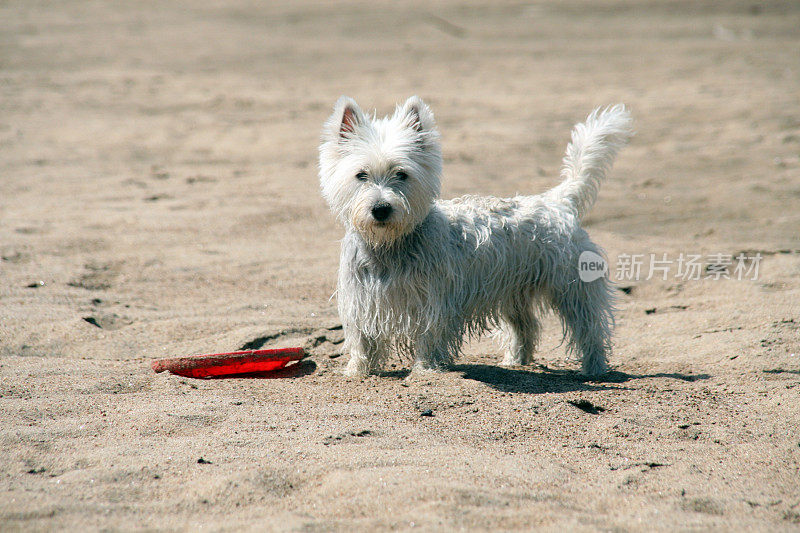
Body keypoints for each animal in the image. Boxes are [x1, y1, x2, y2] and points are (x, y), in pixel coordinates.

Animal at [318, 96, 632, 378]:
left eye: (402, 174)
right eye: (361, 175)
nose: (381, 209)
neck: (389, 245)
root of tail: (557, 200)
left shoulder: (434, 301)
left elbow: (428, 336)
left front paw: (424, 370)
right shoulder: (362, 300)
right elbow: (363, 340)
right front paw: (358, 371)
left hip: (571, 288)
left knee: (589, 327)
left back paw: (593, 369)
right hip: (513, 290)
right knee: (525, 326)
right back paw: (515, 361)